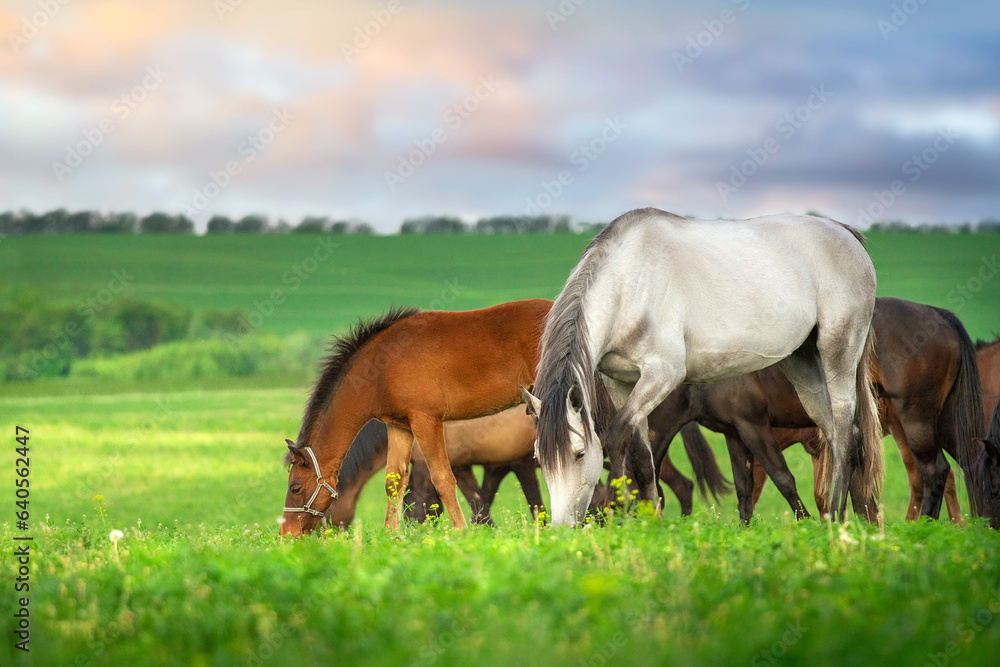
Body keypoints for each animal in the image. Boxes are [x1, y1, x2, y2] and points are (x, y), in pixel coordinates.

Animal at [281, 299, 552, 535]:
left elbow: (443, 479)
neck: (381, 368)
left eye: (295, 487)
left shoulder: (426, 421)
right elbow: (394, 482)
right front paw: (391, 535)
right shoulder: (400, 427)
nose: (286, 533)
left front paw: (461, 532)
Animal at [522, 208, 882, 525]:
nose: (564, 526)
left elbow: (617, 436)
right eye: (540, 460)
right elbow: (643, 457)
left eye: (580, 453)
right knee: (837, 433)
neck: (630, 285)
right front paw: (651, 522)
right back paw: (849, 520)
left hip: (838, 352)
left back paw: (836, 517)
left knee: (846, 431)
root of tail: (844, 232)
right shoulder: (621, 383)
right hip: (802, 362)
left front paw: (621, 512)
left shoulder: (663, 375)